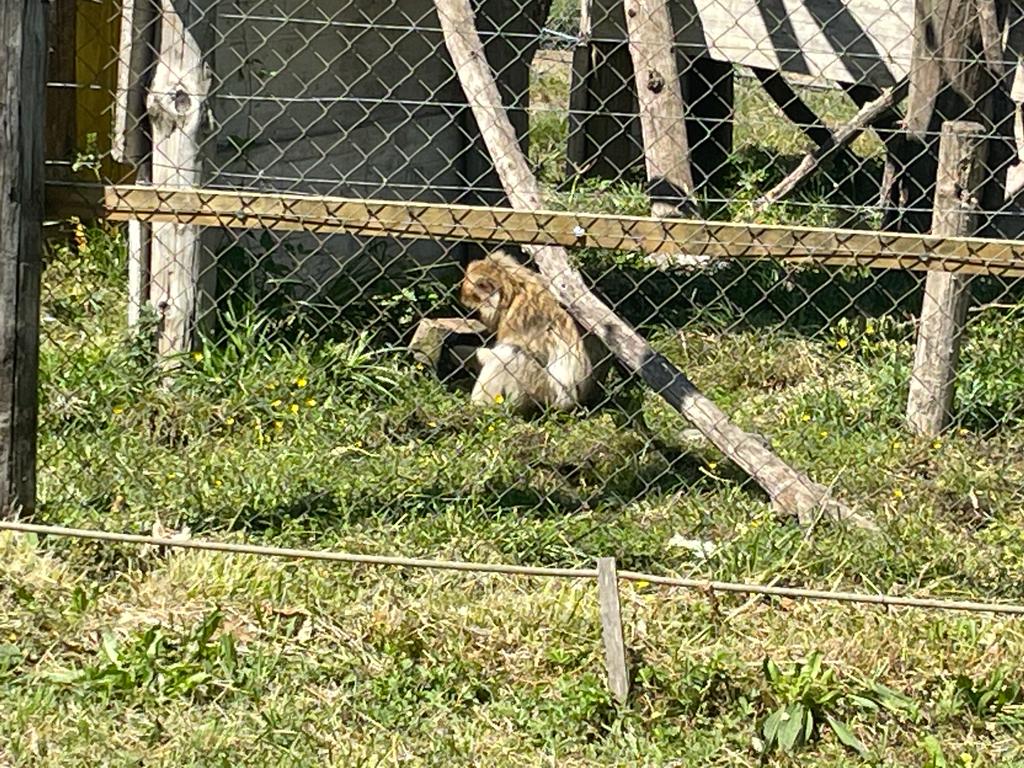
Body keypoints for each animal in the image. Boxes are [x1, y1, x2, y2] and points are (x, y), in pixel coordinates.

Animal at [458, 249, 608, 415]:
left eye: (476, 311)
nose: (480, 319)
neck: (515, 289)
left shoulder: (520, 318)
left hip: (546, 395)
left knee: (511, 354)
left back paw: (479, 408)